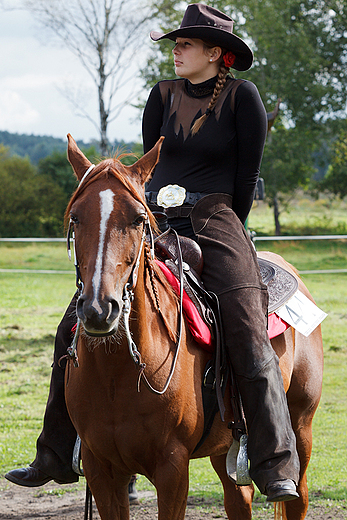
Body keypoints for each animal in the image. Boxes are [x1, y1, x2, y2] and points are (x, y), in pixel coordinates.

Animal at [64, 135, 324, 520]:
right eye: (76, 217)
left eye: (138, 219)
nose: (99, 309)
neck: (116, 374)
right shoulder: (102, 470)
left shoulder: (172, 469)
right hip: (225, 447)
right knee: (238, 499)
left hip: (301, 426)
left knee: (298, 496)